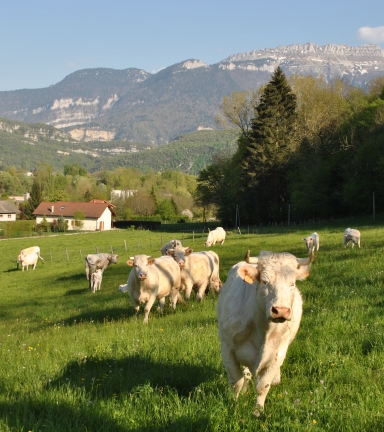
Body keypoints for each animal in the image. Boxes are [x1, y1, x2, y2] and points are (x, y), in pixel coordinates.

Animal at [218, 250, 314, 416]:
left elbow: (263, 386)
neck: (262, 331)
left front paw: (258, 411)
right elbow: (236, 381)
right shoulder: (227, 349)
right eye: (264, 282)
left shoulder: (278, 353)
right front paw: (234, 405)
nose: (280, 311)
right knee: (246, 375)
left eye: (292, 284)